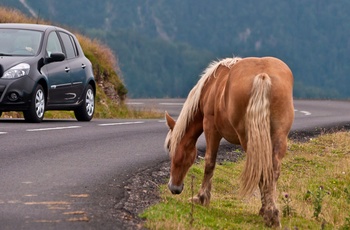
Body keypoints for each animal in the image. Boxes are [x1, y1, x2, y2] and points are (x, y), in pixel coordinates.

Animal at [165, 56, 294, 226]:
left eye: (170, 148)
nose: (174, 187)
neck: (211, 87)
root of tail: (263, 75)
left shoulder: (211, 127)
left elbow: (209, 162)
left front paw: (201, 198)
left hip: (248, 139)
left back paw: (270, 214)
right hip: (278, 137)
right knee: (271, 170)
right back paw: (269, 211)